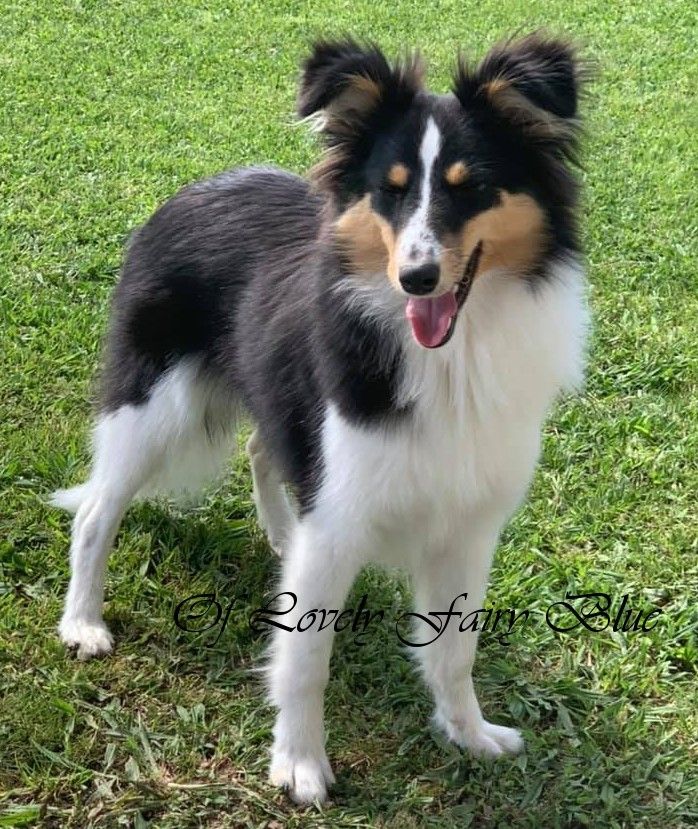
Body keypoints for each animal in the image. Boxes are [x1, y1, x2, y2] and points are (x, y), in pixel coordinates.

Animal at [51, 34, 589, 803]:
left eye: (470, 187)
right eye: (391, 189)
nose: (417, 279)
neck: (450, 354)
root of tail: (195, 189)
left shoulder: (468, 520)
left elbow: (456, 649)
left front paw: (468, 732)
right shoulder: (339, 514)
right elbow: (306, 659)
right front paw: (300, 762)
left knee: (260, 449)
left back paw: (279, 534)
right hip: (153, 403)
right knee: (98, 509)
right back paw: (82, 621)